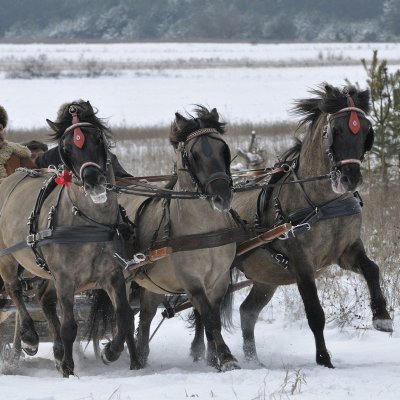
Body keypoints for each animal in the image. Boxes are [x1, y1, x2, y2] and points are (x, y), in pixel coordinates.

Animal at [0, 100, 139, 376]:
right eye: (65, 148)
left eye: (98, 138)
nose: (93, 180)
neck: (88, 222)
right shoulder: (65, 278)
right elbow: (69, 326)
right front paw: (68, 370)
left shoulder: (113, 275)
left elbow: (124, 316)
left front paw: (112, 352)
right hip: (9, 259)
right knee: (14, 289)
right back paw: (30, 336)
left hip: (46, 272)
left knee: (44, 300)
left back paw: (56, 350)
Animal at [120, 107, 241, 372]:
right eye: (194, 155)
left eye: (223, 149)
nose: (222, 197)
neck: (204, 228)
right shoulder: (192, 280)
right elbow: (209, 318)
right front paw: (227, 357)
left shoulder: (217, 280)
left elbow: (211, 318)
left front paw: (214, 358)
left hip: (152, 285)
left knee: (145, 317)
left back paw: (141, 354)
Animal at [191, 83, 394, 368]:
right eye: (336, 130)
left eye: (366, 130)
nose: (350, 178)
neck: (322, 204)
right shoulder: (301, 263)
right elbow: (315, 313)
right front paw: (324, 359)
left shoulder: (347, 251)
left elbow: (372, 268)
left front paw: (382, 317)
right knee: (203, 309)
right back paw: (204, 354)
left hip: (267, 276)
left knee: (246, 312)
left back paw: (252, 359)